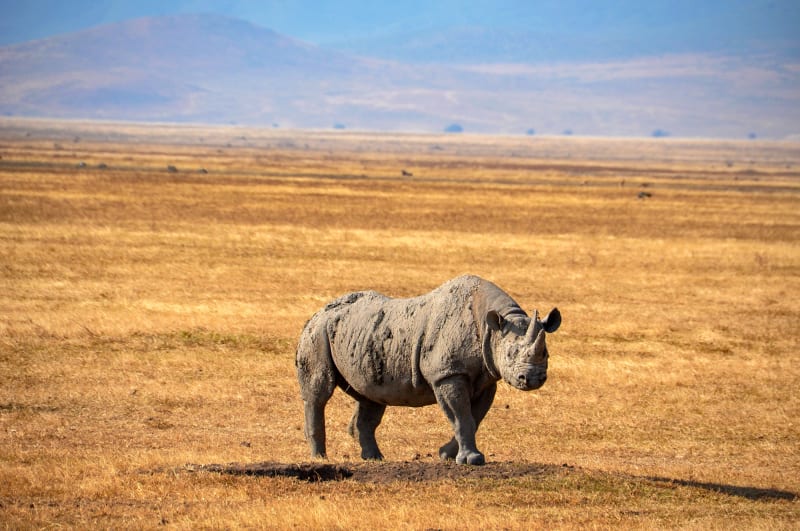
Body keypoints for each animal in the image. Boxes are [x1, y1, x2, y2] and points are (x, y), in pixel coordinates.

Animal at [295, 275, 561, 465]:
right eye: (509, 354)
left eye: (546, 354)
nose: (533, 378)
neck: (492, 327)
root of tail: (318, 312)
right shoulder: (447, 374)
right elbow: (461, 416)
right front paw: (471, 460)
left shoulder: (487, 377)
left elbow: (475, 417)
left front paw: (447, 455)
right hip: (317, 332)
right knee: (319, 393)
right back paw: (320, 458)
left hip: (364, 337)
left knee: (371, 398)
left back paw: (375, 459)